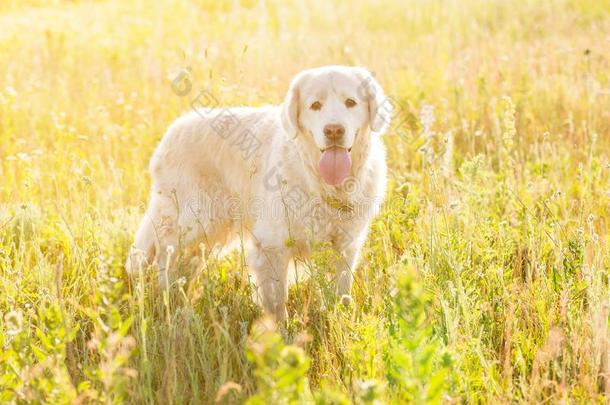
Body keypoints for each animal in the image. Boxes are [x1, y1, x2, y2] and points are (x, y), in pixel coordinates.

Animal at [126, 65, 390, 318]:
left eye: (351, 102)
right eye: (315, 105)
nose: (334, 130)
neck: (321, 181)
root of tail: (172, 131)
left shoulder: (346, 245)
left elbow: (340, 292)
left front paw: (338, 318)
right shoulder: (271, 245)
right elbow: (276, 300)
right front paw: (280, 330)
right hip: (197, 220)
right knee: (166, 253)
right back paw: (171, 301)